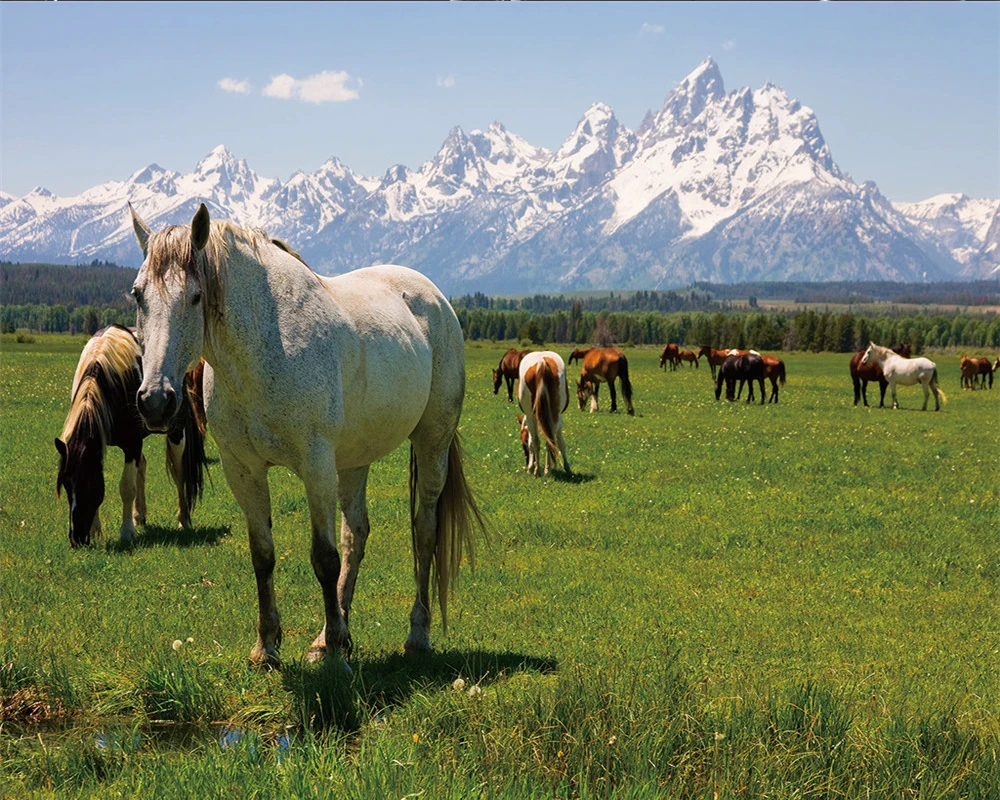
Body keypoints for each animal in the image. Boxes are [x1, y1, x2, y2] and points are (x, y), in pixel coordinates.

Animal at [55, 324, 207, 548]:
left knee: (180, 473)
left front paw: (126, 532)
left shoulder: (132, 443)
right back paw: (140, 515)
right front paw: (97, 530)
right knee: (142, 465)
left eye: (88, 482)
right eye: (66, 484)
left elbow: (127, 487)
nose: (77, 539)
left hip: (176, 433)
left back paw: (183, 520)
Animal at [128, 202, 485, 667]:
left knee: (423, 530)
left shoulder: (316, 466)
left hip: (432, 443)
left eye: (195, 296)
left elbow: (324, 558)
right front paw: (268, 646)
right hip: (353, 460)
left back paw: (414, 633)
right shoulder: (242, 469)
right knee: (356, 535)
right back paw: (334, 633)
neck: (262, 351)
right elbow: (263, 555)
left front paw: (333, 655)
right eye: (137, 294)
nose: (155, 401)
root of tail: (436, 298)